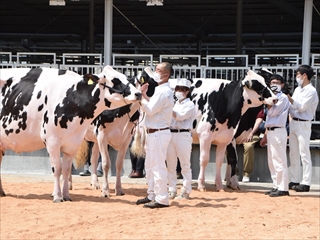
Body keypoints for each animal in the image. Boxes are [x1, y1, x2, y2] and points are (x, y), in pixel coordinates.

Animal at [0, 66, 141, 202]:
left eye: (127, 77)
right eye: (115, 80)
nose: (138, 94)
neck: (72, 97)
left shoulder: (74, 141)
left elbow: (67, 169)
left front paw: (66, 196)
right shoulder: (52, 140)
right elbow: (57, 169)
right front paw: (58, 196)